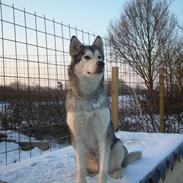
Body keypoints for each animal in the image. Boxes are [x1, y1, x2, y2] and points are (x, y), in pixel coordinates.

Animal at [66, 35, 142, 183]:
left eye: (100, 57)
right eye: (86, 57)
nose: (101, 64)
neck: (88, 96)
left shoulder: (103, 135)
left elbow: (103, 169)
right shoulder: (76, 137)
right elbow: (80, 170)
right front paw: (81, 179)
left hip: (118, 145)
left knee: (114, 166)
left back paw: (116, 173)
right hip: (78, 152)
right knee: (84, 167)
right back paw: (88, 173)